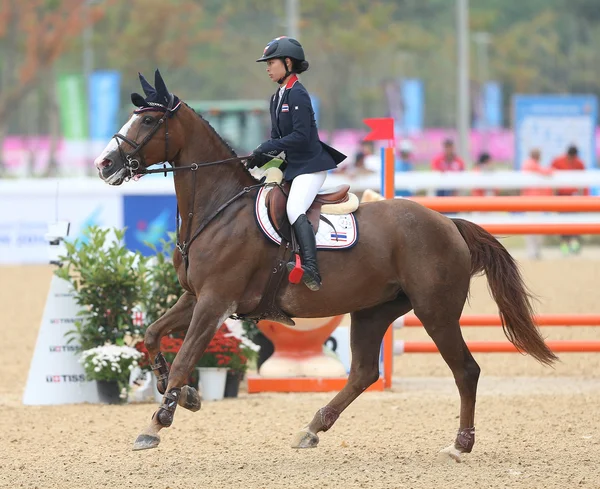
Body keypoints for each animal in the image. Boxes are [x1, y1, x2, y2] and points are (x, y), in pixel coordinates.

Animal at [94, 70, 556, 460]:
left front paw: (159, 420)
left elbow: (186, 357)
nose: (104, 164)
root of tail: (447, 222)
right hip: (374, 310)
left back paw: (460, 445)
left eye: (149, 121)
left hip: (435, 311)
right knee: (364, 372)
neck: (217, 209)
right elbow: (152, 335)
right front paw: (179, 393)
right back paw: (312, 428)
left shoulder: (215, 301)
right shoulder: (195, 296)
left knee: (465, 370)